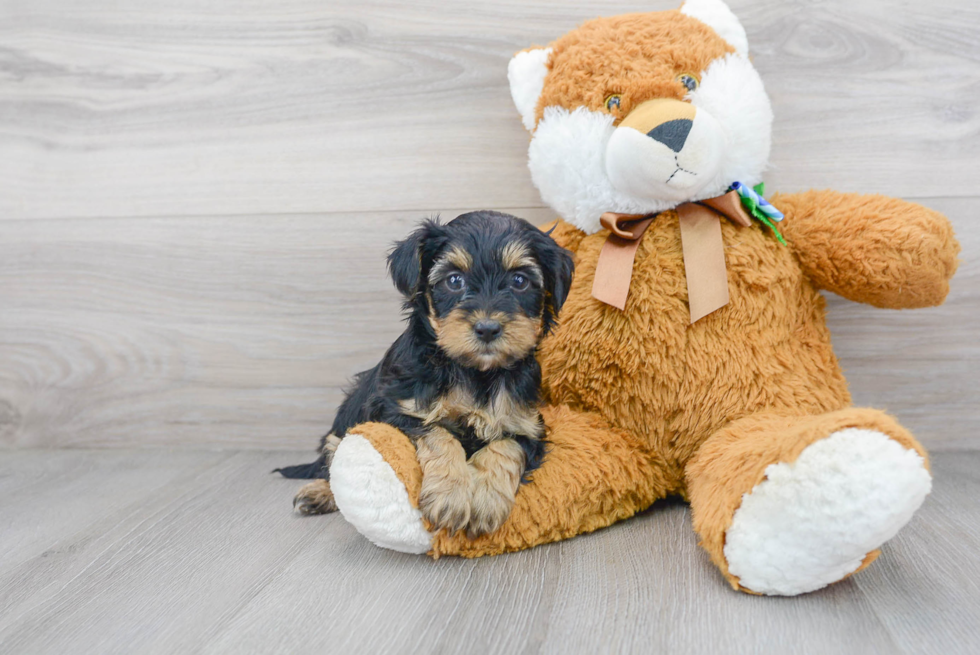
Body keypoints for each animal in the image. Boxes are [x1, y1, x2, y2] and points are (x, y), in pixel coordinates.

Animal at [276, 210, 576, 540]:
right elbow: (438, 433)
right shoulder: (394, 410)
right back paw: (318, 493)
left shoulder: (526, 425)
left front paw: (486, 500)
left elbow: (505, 446)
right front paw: (451, 497)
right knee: (333, 460)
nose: (487, 328)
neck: (475, 372)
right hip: (344, 424)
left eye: (520, 281)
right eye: (454, 280)